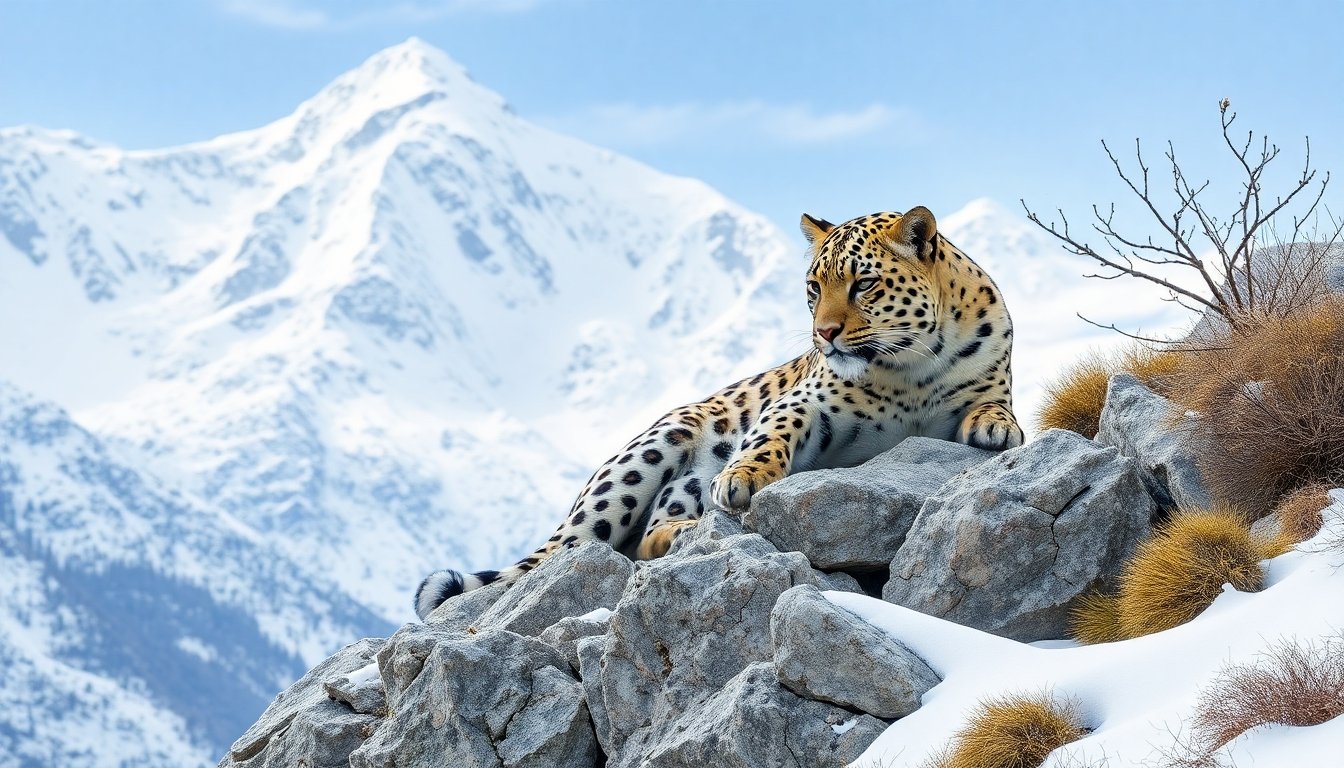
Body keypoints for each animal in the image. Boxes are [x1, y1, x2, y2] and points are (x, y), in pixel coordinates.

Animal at [415, 205, 1024, 620]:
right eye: (813, 287)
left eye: (864, 283)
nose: (823, 334)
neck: (909, 368)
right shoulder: (805, 401)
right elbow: (770, 434)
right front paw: (743, 479)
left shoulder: (990, 378)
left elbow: (996, 407)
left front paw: (996, 426)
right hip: (650, 453)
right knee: (582, 548)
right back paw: (691, 526)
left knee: (648, 533)